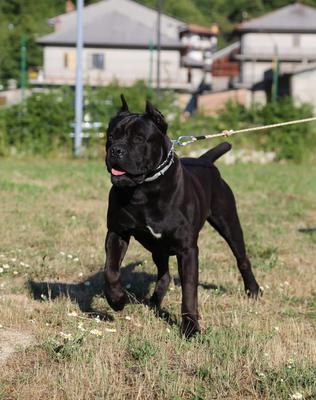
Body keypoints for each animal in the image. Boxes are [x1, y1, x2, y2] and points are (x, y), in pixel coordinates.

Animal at [103, 95, 260, 336]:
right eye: (110, 136)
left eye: (139, 139)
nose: (116, 150)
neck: (145, 189)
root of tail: (204, 160)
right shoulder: (117, 232)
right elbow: (110, 270)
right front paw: (117, 299)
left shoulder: (187, 250)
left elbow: (189, 290)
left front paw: (190, 327)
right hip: (158, 247)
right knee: (164, 274)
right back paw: (154, 302)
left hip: (229, 223)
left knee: (242, 258)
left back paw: (253, 290)